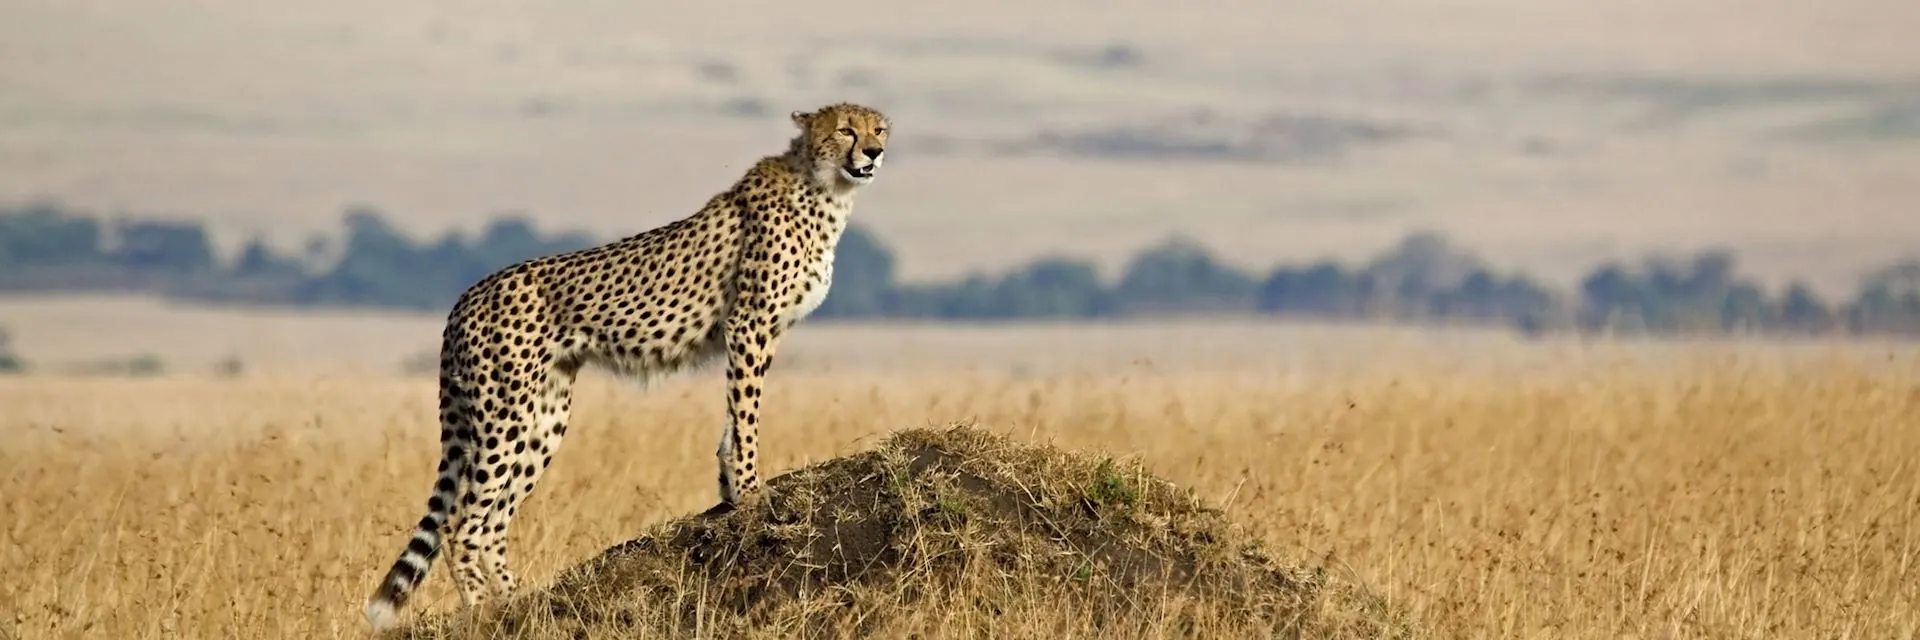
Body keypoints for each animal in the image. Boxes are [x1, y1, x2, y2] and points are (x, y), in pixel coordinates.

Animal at [362, 102, 891, 631]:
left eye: (879, 129)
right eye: (846, 130)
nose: (873, 152)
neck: (825, 188)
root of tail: (467, 295)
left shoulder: (756, 332)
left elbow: (734, 416)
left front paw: (728, 488)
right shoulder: (749, 324)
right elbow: (746, 413)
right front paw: (748, 491)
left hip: (544, 418)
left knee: (492, 522)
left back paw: (520, 603)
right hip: (505, 415)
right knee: (463, 526)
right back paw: (484, 616)